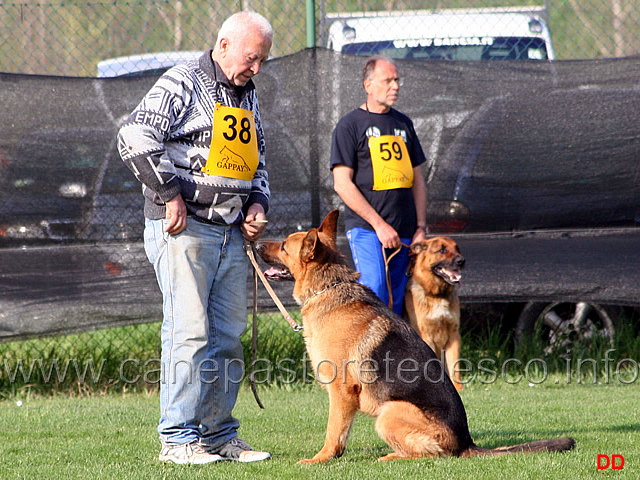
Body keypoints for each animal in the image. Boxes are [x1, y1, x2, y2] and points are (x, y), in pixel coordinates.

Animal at [404, 238, 464, 392]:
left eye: (457, 248)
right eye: (442, 250)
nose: (462, 261)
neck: (437, 295)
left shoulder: (454, 336)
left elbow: (454, 366)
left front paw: (459, 389)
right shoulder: (426, 336)